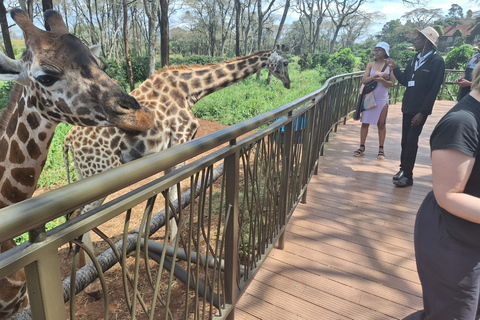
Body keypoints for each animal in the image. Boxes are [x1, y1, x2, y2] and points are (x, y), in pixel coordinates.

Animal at [62, 48, 290, 260]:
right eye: (286, 62)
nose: (288, 83)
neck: (189, 89)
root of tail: (68, 141)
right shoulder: (181, 140)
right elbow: (175, 193)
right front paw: (175, 243)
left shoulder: (169, 150)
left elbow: (169, 194)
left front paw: (170, 242)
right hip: (98, 172)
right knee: (78, 221)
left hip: (83, 174)